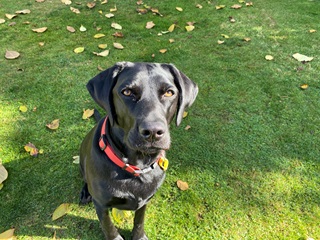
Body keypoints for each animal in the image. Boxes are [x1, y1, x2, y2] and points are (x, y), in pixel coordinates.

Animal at [80, 62, 198, 240]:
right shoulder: (101, 204)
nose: (153, 131)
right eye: (127, 92)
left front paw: (139, 236)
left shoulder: (145, 200)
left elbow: (139, 220)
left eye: (169, 92)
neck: (137, 165)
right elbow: (109, 227)